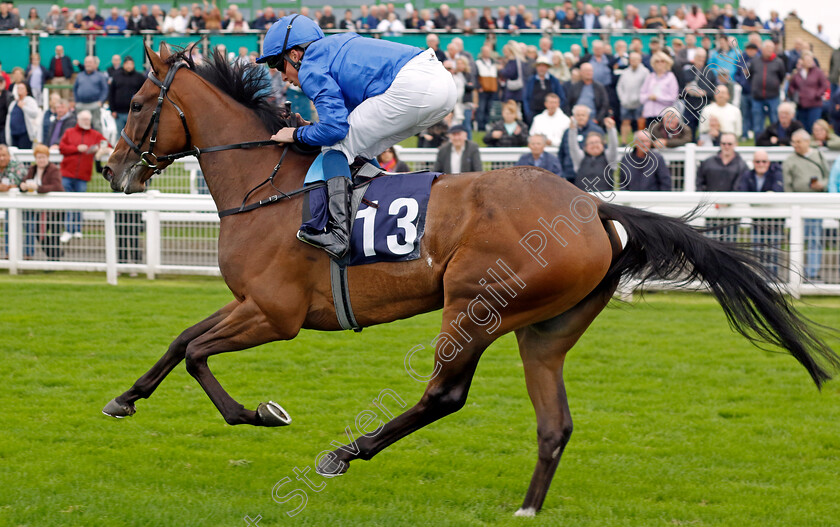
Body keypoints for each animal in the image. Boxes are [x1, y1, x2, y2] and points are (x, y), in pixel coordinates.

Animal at [101, 45, 836, 516]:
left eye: (134, 102)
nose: (113, 171)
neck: (270, 187)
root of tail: (591, 208)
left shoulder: (274, 314)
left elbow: (197, 353)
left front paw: (259, 412)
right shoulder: (248, 302)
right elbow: (181, 340)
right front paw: (125, 398)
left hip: (475, 305)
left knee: (444, 395)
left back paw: (345, 452)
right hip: (544, 329)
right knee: (554, 423)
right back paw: (526, 507)